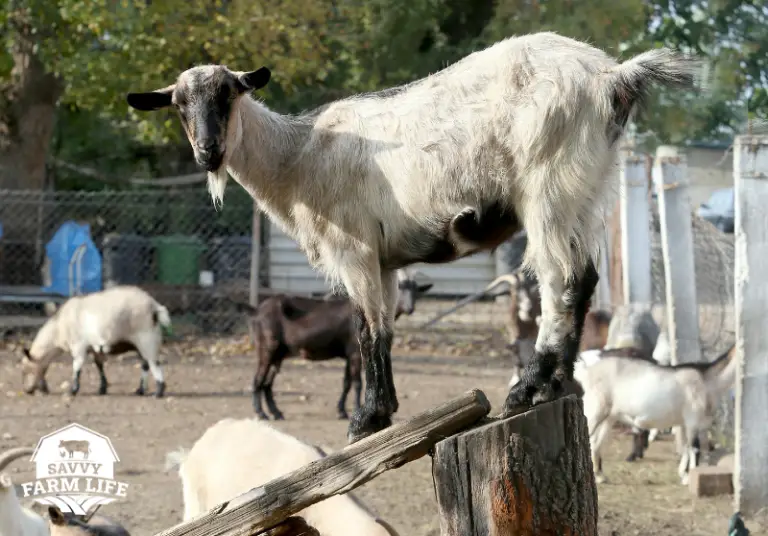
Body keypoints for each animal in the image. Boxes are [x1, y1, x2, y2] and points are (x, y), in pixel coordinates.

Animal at [20, 286, 171, 398]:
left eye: (26, 370)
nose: (27, 391)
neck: (58, 329)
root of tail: (154, 305)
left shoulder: (78, 346)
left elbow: (77, 367)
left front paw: (73, 390)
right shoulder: (95, 348)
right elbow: (99, 365)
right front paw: (102, 389)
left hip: (147, 338)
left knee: (153, 363)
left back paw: (158, 392)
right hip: (141, 343)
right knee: (145, 364)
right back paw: (140, 390)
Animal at [237, 271, 432, 420]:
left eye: (416, 291)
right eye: (400, 287)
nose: (410, 308)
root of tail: (256, 310)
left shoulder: (348, 354)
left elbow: (346, 382)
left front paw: (341, 411)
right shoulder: (355, 352)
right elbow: (357, 382)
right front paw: (356, 410)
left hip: (279, 353)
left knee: (267, 383)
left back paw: (276, 413)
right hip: (266, 348)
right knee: (258, 380)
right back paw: (261, 413)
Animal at [580, 344, 736, 485]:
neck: (707, 380)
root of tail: (587, 373)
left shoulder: (687, 423)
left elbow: (687, 447)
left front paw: (683, 474)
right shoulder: (692, 420)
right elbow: (693, 448)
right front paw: (688, 477)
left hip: (609, 417)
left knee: (596, 443)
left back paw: (600, 477)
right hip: (594, 410)